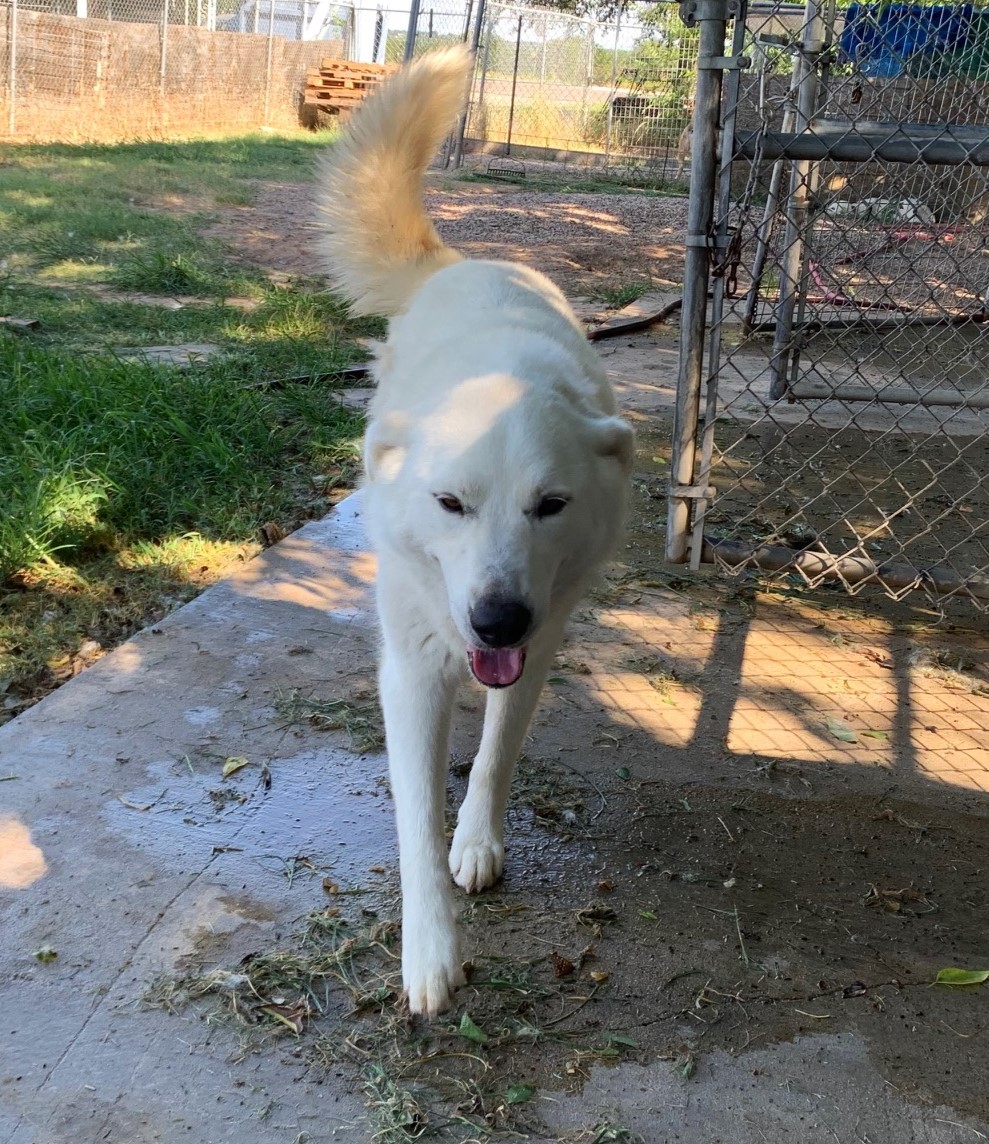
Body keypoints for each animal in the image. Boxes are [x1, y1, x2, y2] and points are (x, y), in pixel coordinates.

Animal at [315, 44, 631, 1015]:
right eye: (449, 503)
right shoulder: (413, 669)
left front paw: (478, 841)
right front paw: (429, 952)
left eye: (550, 505)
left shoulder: (543, 638)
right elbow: (413, 818)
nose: (495, 621)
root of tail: (463, 259)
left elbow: (495, 755)